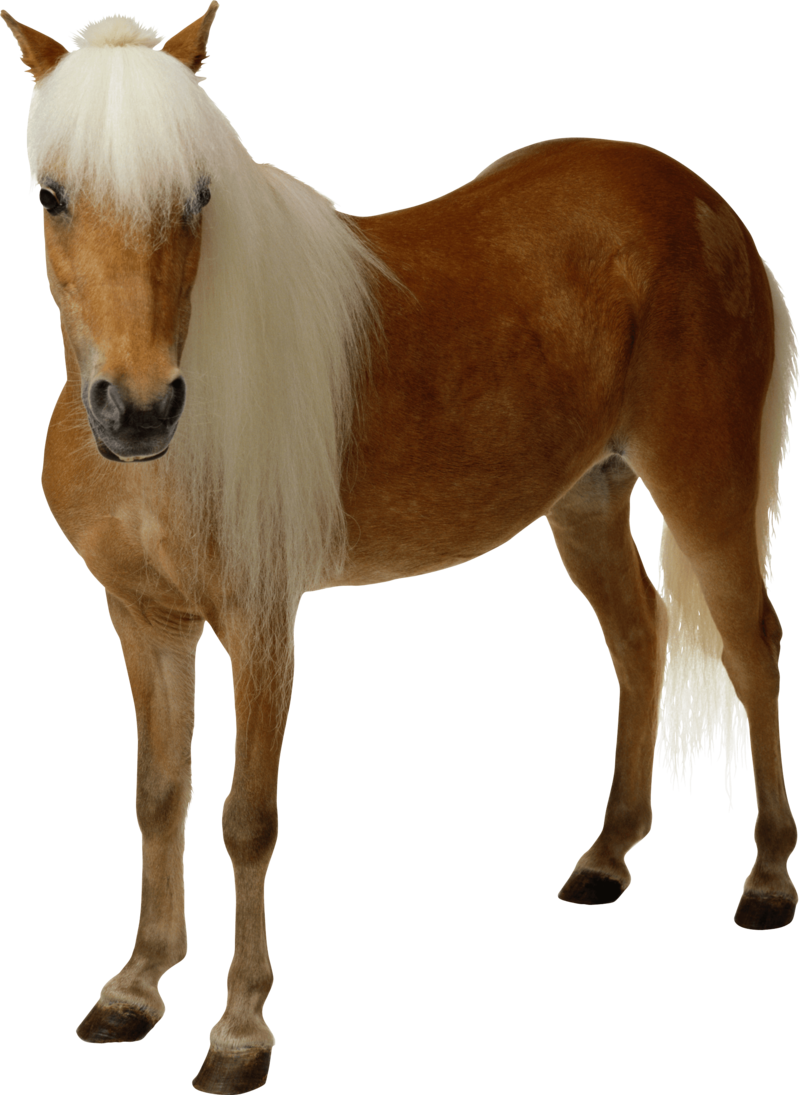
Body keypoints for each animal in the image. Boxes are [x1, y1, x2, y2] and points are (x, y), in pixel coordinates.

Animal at [3, 3, 798, 1092]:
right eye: (53, 197)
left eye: (198, 196)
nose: (137, 411)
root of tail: (704, 203)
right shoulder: (144, 620)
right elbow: (159, 795)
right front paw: (133, 990)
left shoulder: (261, 623)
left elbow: (247, 818)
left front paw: (238, 1033)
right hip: (586, 497)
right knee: (637, 637)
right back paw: (605, 858)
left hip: (704, 486)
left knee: (749, 646)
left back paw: (767, 879)